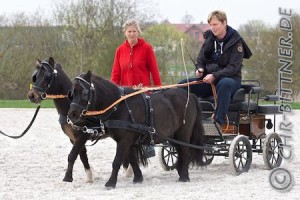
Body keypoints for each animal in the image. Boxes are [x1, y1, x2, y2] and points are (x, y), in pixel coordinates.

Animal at [67, 71, 205, 188]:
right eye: (72, 93)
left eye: (84, 93)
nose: (72, 114)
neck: (119, 106)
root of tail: (190, 95)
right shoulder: (129, 141)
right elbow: (132, 160)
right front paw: (138, 178)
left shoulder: (124, 140)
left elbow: (117, 161)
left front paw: (111, 183)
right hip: (173, 136)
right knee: (180, 152)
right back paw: (181, 171)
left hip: (183, 133)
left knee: (186, 152)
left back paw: (184, 176)